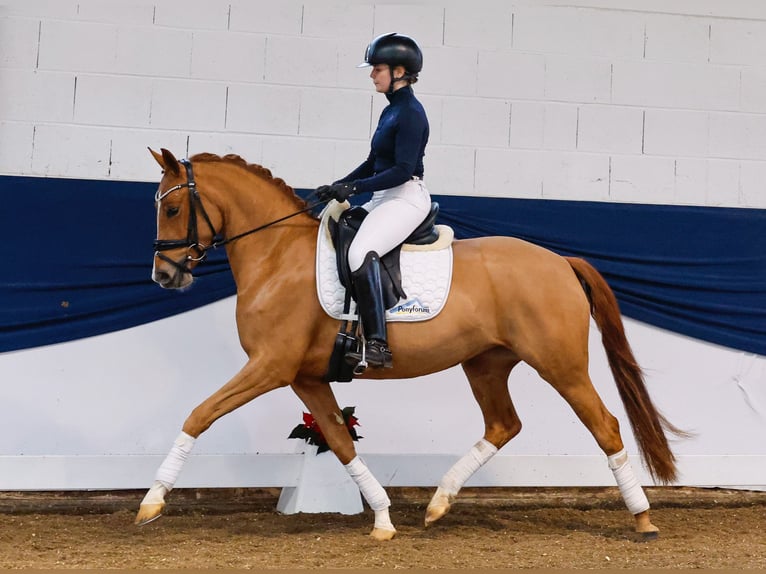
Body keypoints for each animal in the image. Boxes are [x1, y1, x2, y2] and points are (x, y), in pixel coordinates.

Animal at [135, 148, 680, 540]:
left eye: (174, 207)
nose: (164, 276)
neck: (277, 257)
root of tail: (561, 260)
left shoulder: (270, 367)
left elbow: (199, 414)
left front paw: (151, 502)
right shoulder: (305, 377)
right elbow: (338, 440)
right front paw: (382, 518)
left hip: (560, 365)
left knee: (605, 425)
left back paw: (643, 519)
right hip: (485, 363)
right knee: (503, 424)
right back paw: (439, 503)